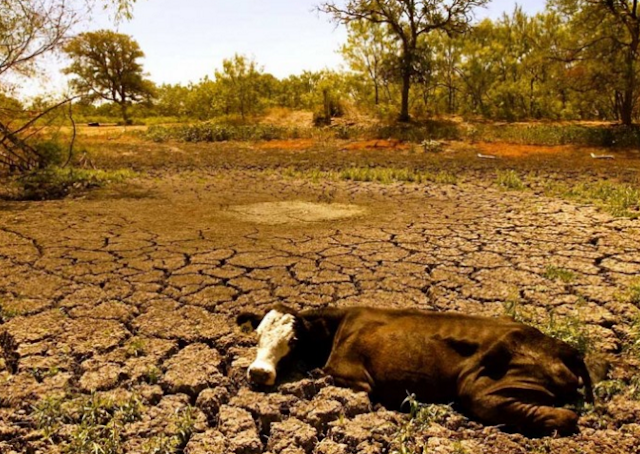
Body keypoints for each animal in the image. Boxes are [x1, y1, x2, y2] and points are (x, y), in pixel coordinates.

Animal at [239, 306, 596, 436]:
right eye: (257, 335)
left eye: (293, 340)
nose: (258, 373)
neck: (336, 327)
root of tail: (565, 349)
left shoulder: (353, 376)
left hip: (481, 389)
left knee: (564, 416)